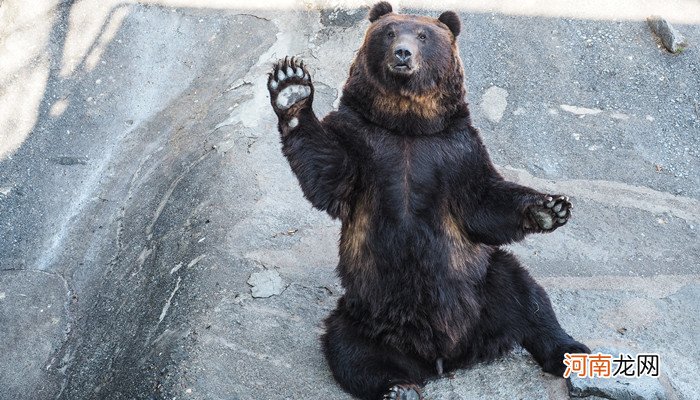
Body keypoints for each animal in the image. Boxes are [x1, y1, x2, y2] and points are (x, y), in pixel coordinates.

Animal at [266, 3, 588, 400]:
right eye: (389, 32)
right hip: (364, 314)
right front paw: (291, 88)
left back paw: (570, 351)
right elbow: (328, 172)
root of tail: (444, 357)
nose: (402, 53)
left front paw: (550, 208)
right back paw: (397, 386)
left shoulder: (456, 152)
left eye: (423, 35)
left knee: (526, 296)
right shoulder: (362, 142)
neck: (407, 126)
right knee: (350, 350)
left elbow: (483, 203)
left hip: (481, 286)